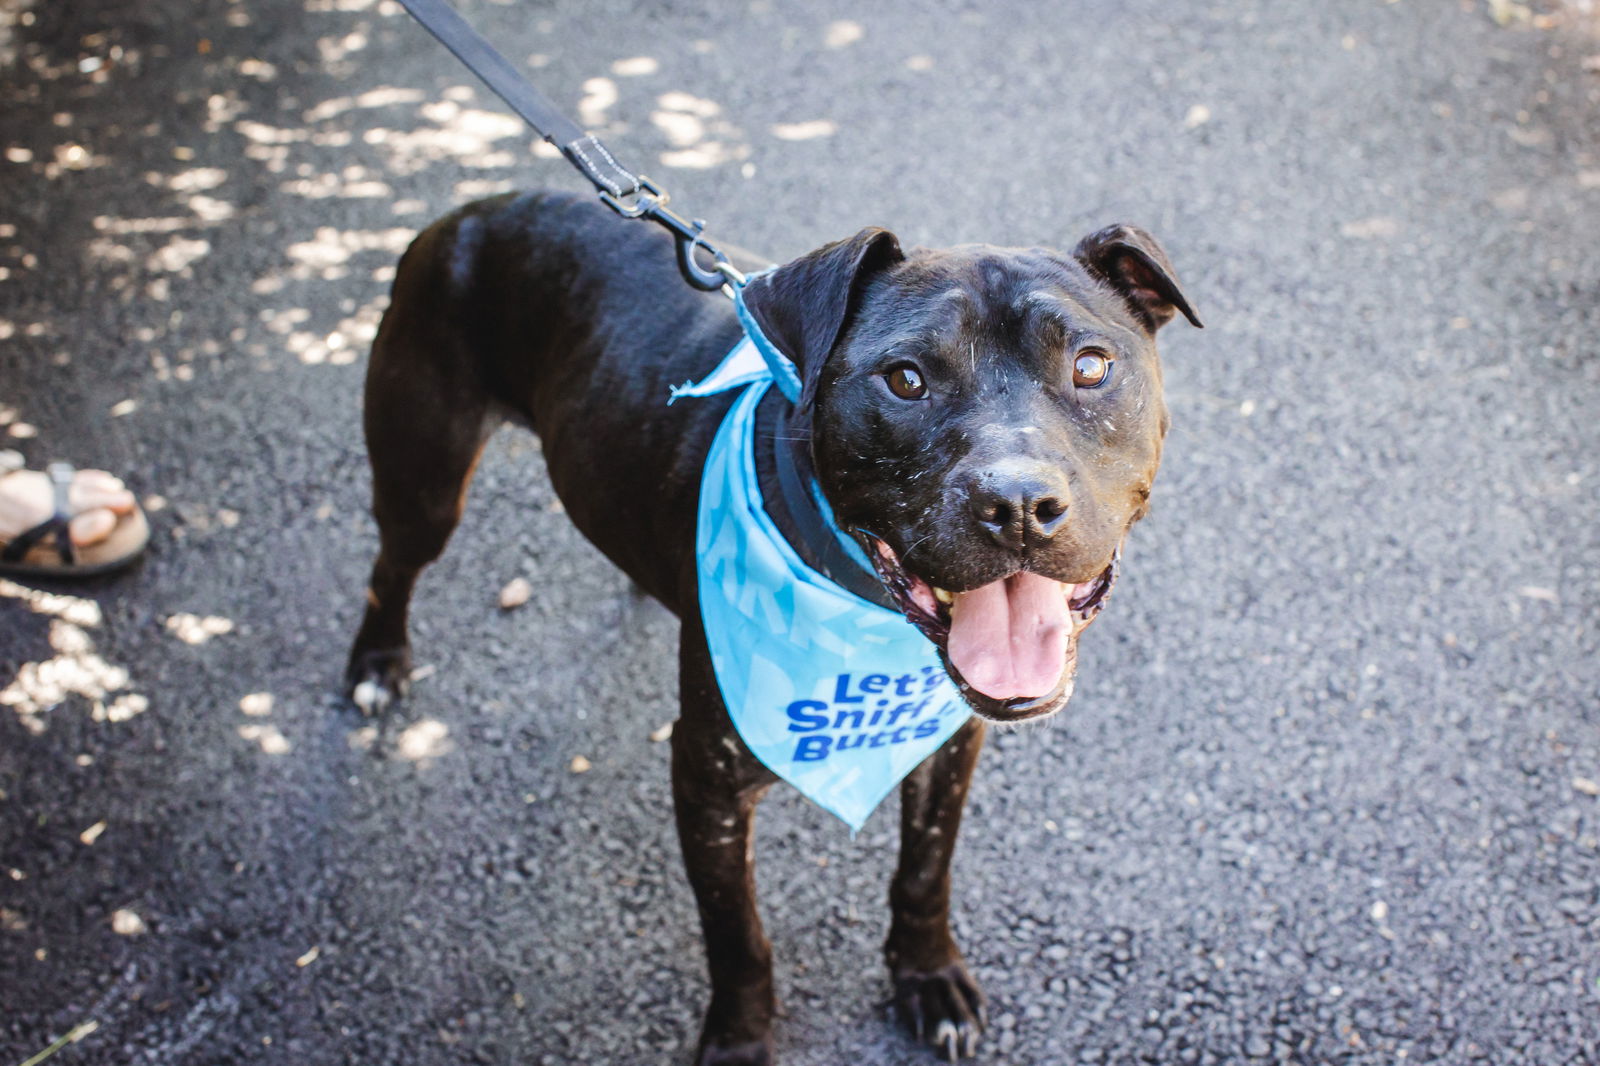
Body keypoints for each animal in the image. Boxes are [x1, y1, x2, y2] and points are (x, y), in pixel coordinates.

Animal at [350, 186, 1203, 1056]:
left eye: (1091, 365)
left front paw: (926, 974)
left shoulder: (949, 745)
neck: (861, 604)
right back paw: (377, 665)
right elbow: (737, 936)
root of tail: (467, 210)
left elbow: (925, 870)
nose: (1018, 503)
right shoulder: (707, 780)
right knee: (391, 570)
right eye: (904, 379)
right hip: (424, 480)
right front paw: (739, 1038)